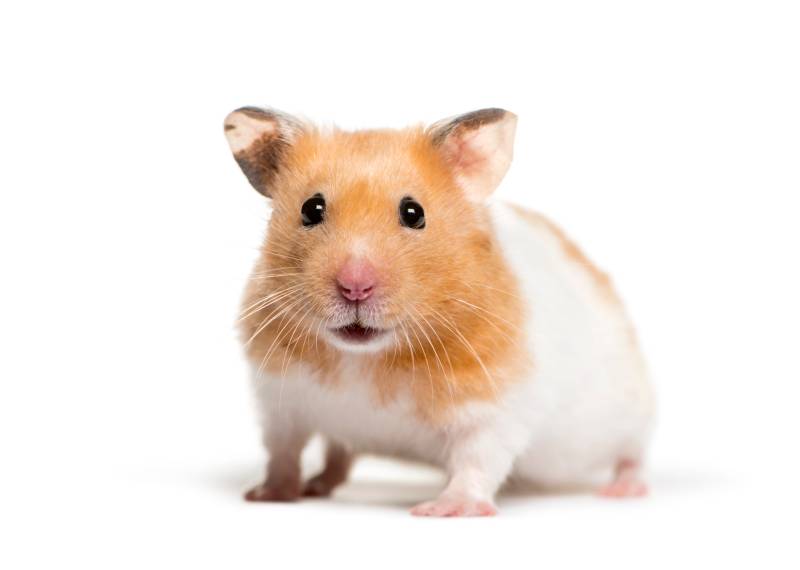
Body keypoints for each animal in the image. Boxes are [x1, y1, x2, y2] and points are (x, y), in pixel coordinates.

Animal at [223, 106, 655, 516]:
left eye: (413, 213)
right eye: (311, 209)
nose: (355, 286)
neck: (363, 359)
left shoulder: (494, 406)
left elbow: (477, 459)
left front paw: (443, 510)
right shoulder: (278, 400)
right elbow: (283, 452)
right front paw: (266, 495)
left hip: (630, 411)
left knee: (634, 452)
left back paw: (624, 490)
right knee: (338, 454)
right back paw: (317, 485)